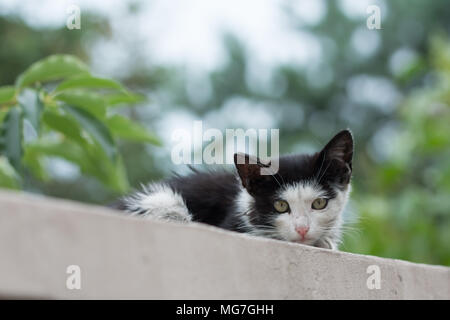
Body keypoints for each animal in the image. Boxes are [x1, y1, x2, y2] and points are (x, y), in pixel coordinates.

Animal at [117, 130, 356, 250]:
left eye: (319, 203)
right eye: (280, 205)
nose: (303, 229)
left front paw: (325, 240)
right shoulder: (231, 224)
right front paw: (323, 242)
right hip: (164, 202)